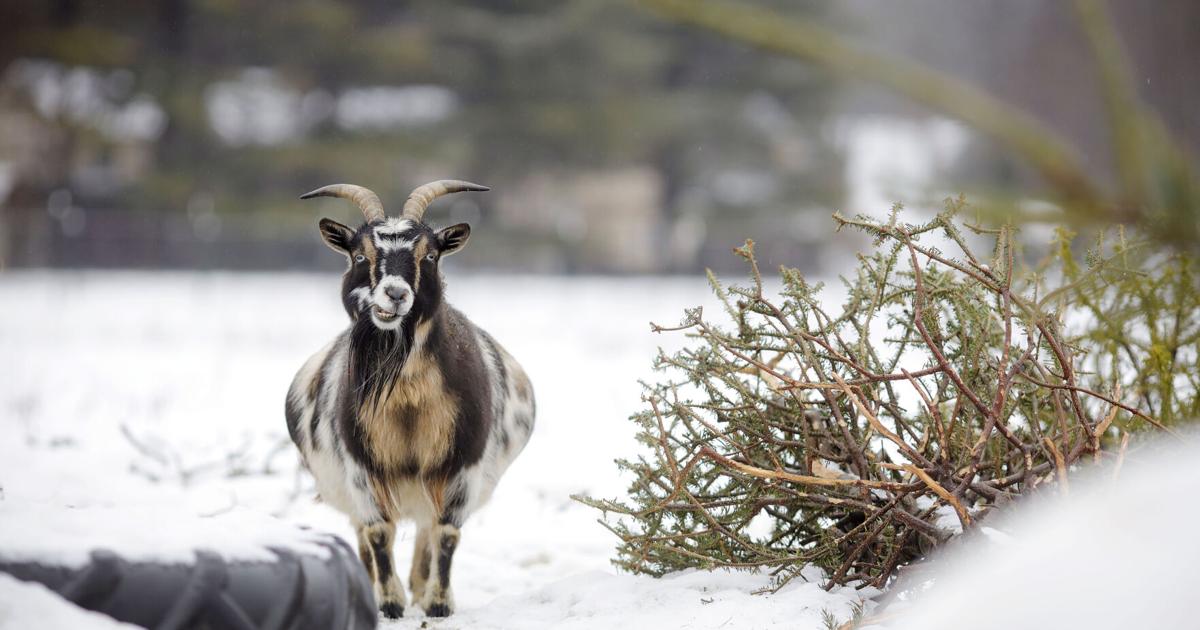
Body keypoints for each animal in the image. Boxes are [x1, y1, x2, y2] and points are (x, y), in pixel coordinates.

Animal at [284, 180, 535, 619]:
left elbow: (446, 532)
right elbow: (378, 533)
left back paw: (420, 584)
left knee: (426, 527)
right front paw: (388, 603)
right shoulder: (361, 466)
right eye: (360, 254)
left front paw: (437, 603)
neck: (408, 406)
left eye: (430, 255)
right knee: (366, 534)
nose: (396, 294)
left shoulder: (463, 464)